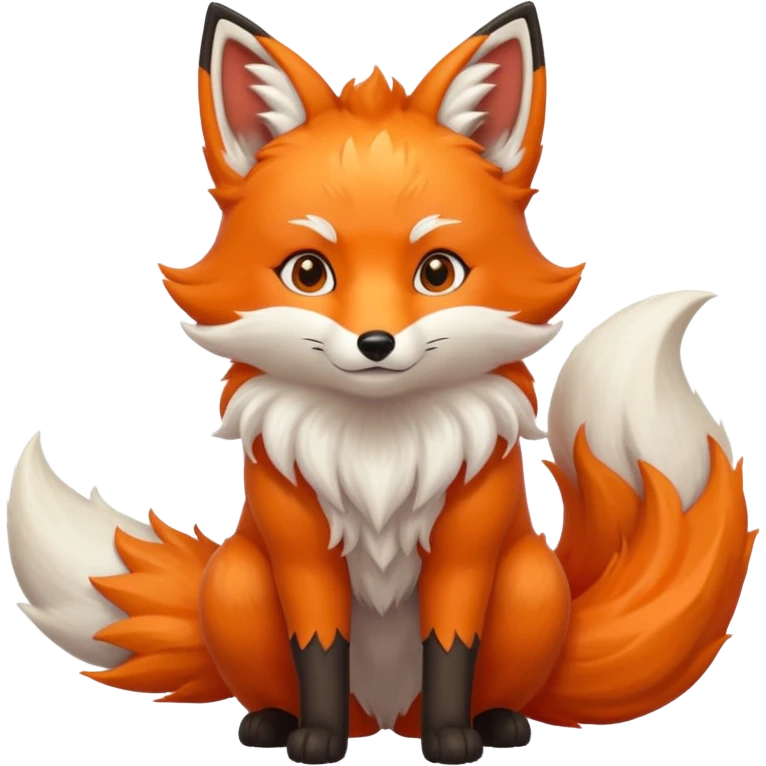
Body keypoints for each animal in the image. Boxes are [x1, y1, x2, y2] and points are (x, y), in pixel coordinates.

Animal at [7, 1, 755, 764]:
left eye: (438, 272)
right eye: (309, 272)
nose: (376, 344)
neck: (378, 456)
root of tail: (389, 718)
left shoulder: (464, 550)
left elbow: (451, 647)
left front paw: (452, 740)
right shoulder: (301, 550)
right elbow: (319, 647)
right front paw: (316, 738)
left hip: (531, 585)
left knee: (491, 688)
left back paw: (493, 723)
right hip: (236, 582)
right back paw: (273, 721)